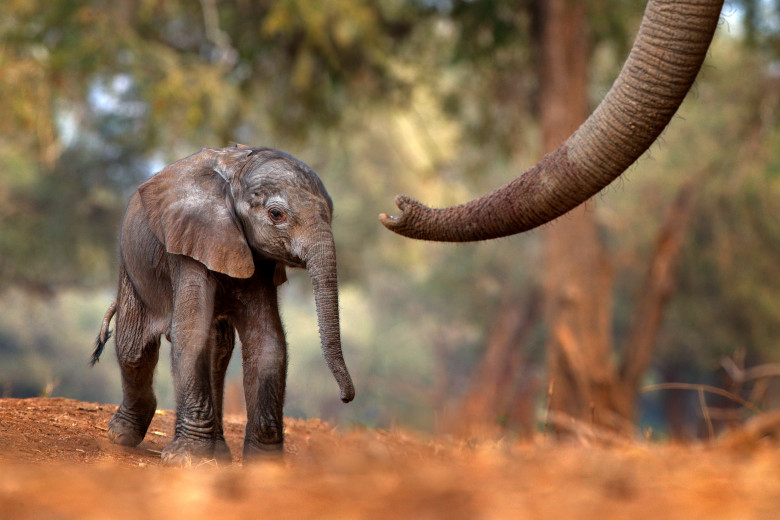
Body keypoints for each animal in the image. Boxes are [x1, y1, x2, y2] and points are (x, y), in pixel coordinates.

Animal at [92, 144, 356, 466]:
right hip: (132, 263)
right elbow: (191, 334)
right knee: (134, 347)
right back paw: (122, 435)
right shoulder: (190, 245)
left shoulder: (260, 261)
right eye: (276, 214)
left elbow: (267, 342)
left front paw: (265, 464)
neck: (236, 177)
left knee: (218, 350)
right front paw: (184, 460)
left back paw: (218, 454)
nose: (346, 398)